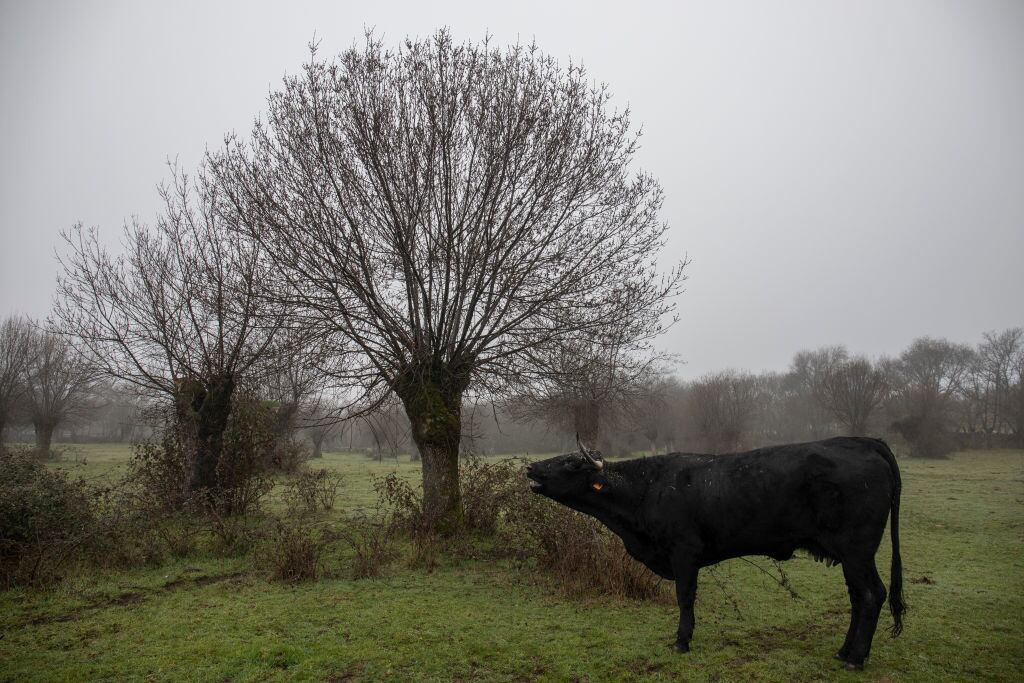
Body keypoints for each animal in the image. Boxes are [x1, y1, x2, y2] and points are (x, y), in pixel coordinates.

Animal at [528, 436, 905, 671]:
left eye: (570, 463)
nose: (531, 468)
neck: (647, 490)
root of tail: (861, 441)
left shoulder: (684, 552)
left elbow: (685, 598)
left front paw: (682, 641)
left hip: (856, 550)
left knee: (872, 595)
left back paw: (856, 658)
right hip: (851, 555)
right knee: (859, 597)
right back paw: (843, 651)